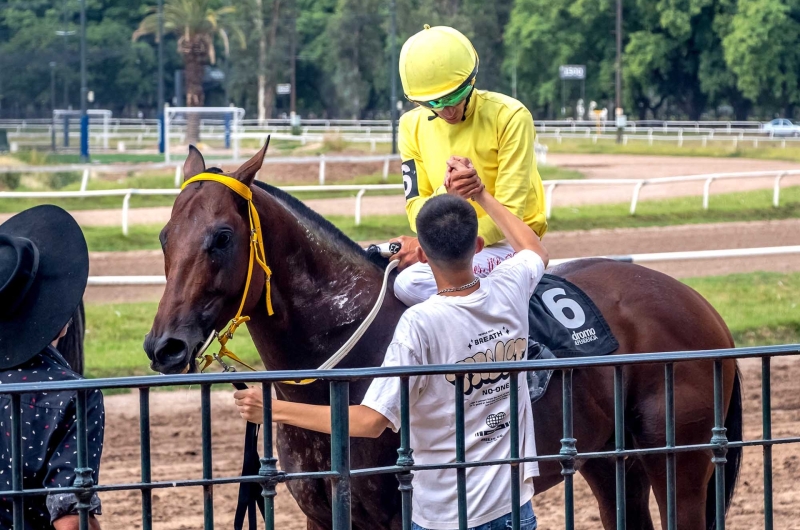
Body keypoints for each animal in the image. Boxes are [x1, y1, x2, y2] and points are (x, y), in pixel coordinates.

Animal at [144, 140, 744, 528]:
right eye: (165, 235)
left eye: (222, 237)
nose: (163, 346)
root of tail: (700, 305)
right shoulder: (323, 513)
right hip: (609, 461)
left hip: (679, 460)